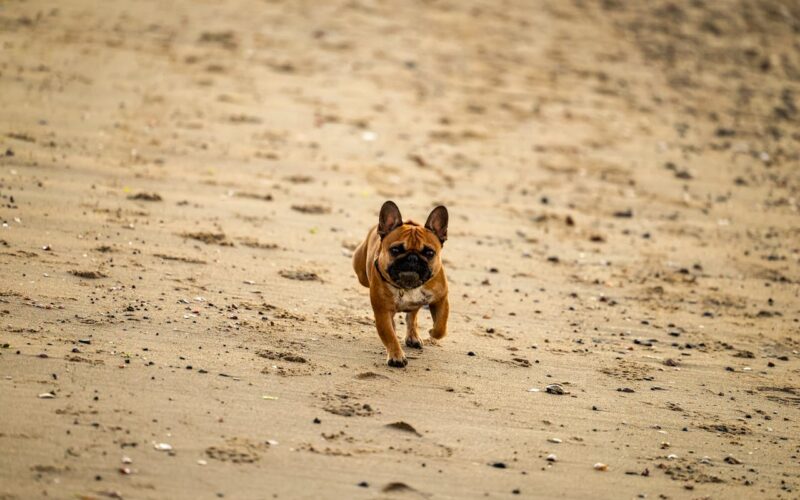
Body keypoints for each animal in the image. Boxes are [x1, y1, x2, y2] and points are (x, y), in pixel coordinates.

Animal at [352, 201, 446, 370]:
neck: (407, 287)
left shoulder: (441, 297)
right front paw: (396, 356)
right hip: (361, 272)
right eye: (395, 250)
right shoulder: (382, 312)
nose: (412, 258)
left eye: (429, 253)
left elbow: (441, 325)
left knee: (412, 315)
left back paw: (413, 336)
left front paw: (433, 331)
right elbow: (389, 335)